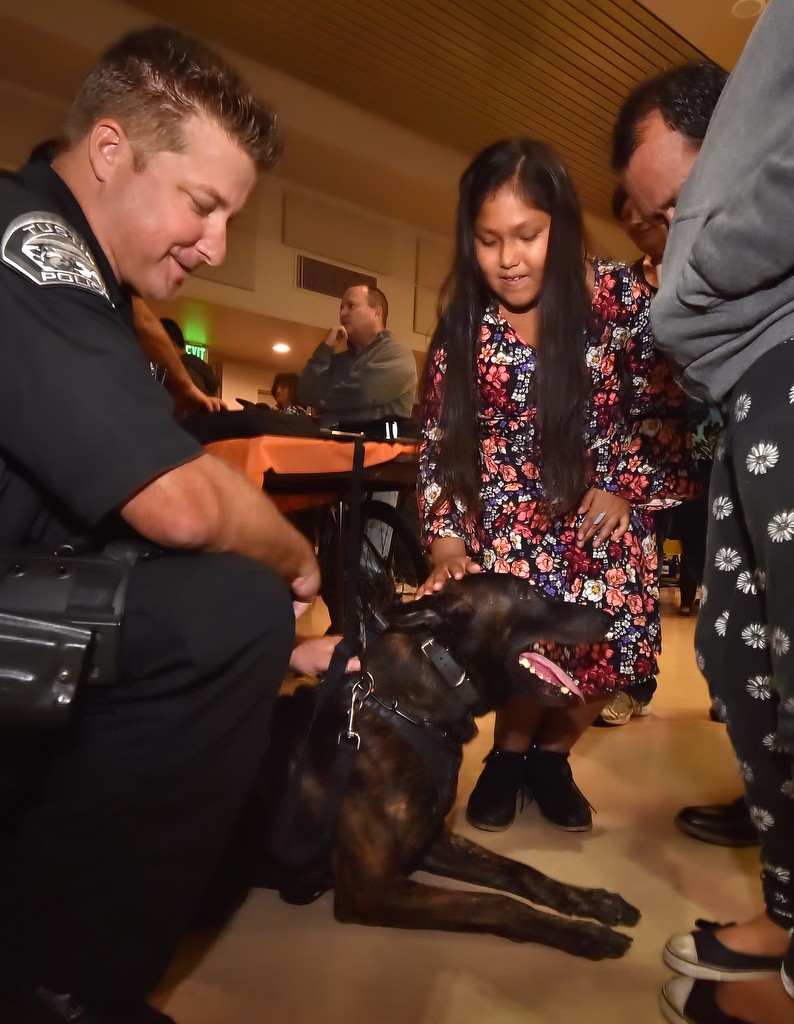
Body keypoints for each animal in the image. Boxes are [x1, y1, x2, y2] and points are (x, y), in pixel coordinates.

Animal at [247, 577, 639, 958]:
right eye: (526, 594)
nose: (608, 617)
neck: (405, 712)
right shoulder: (373, 890)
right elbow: (497, 905)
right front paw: (583, 934)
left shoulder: (430, 839)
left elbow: (521, 871)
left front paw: (592, 901)